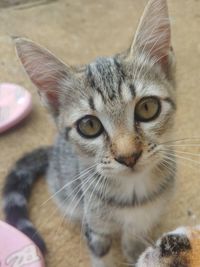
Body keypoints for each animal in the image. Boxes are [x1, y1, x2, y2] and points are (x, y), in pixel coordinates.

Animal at [2, 0, 176, 266]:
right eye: (89, 126)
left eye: (147, 108)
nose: (128, 156)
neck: (132, 195)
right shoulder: (94, 226)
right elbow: (101, 255)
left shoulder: (139, 225)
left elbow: (135, 245)